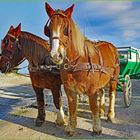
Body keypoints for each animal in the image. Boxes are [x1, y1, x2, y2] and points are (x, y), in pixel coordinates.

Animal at [44, 3, 120, 136]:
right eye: (48, 29)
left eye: (66, 28)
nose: (55, 55)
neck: (77, 62)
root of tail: (112, 47)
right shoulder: (69, 89)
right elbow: (72, 107)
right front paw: (71, 127)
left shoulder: (92, 89)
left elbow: (93, 106)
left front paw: (97, 128)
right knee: (102, 92)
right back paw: (101, 111)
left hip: (113, 79)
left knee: (111, 94)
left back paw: (110, 115)